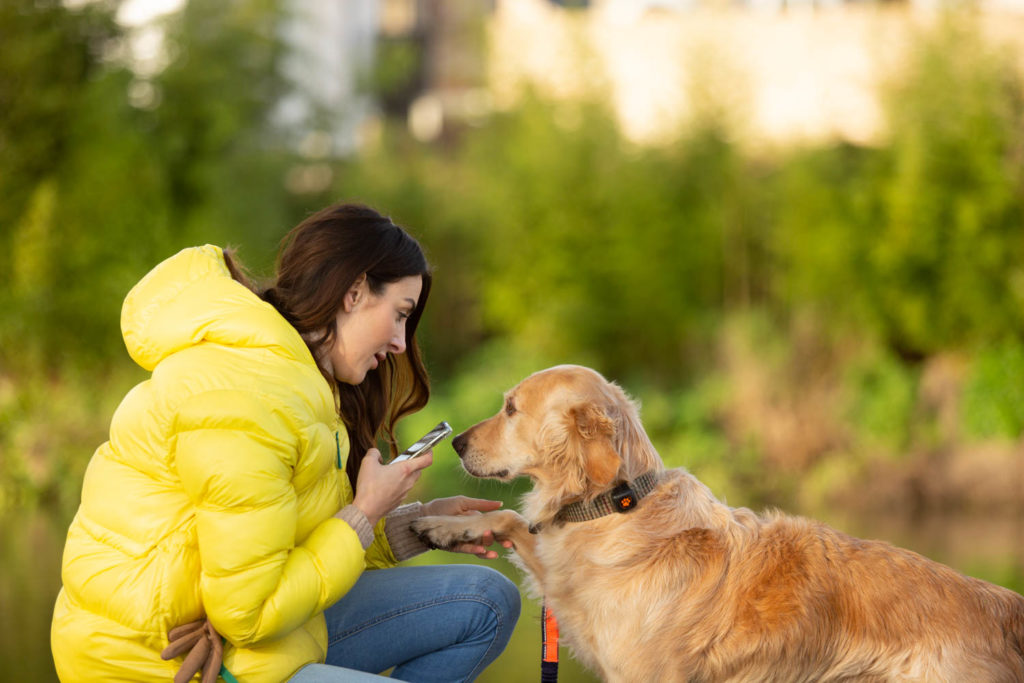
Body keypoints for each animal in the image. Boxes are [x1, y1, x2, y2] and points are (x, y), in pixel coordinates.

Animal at [411, 366, 1024, 679]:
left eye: (511, 409)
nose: (456, 443)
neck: (614, 505)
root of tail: (1005, 608)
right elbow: (513, 519)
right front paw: (445, 526)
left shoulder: (647, 675)